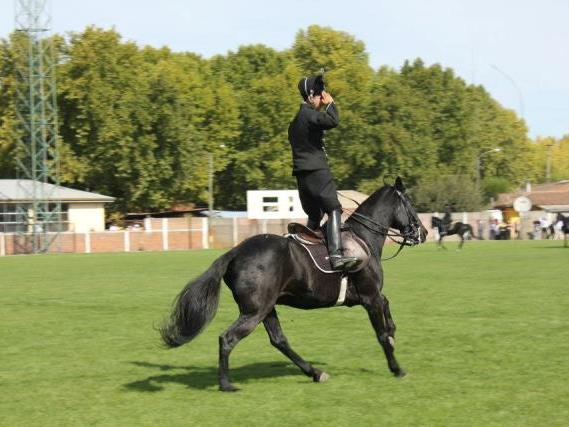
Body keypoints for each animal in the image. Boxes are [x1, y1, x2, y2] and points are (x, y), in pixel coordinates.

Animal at [160, 178, 426, 394]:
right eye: (410, 203)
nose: (422, 233)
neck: (363, 237)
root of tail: (235, 252)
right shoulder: (369, 298)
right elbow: (381, 333)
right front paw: (396, 368)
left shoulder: (369, 297)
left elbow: (387, 310)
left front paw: (393, 334)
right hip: (255, 312)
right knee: (228, 338)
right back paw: (226, 384)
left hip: (267, 309)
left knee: (279, 340)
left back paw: (315, 373)